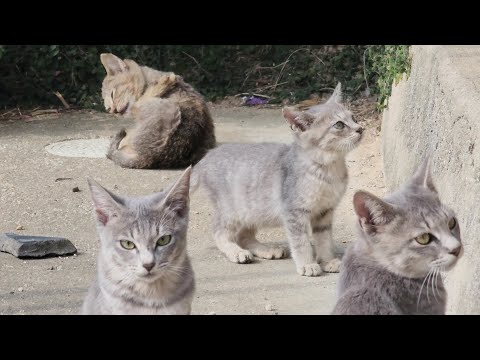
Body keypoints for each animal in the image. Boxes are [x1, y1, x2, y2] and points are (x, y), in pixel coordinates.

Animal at [191, 83, 364, 276]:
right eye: (339, 125)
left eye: (354, 117)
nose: (360, 128)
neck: (328, 169)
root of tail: (209, 154)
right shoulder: (294, 212)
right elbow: (301, 242)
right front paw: (307, 264)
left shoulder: (324, 212)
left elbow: (324, 240)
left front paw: (328, 261)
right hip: (232, 210)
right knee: (219, 232)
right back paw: (235, 251)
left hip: (252, 210)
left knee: (244, 235)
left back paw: (266, 250)